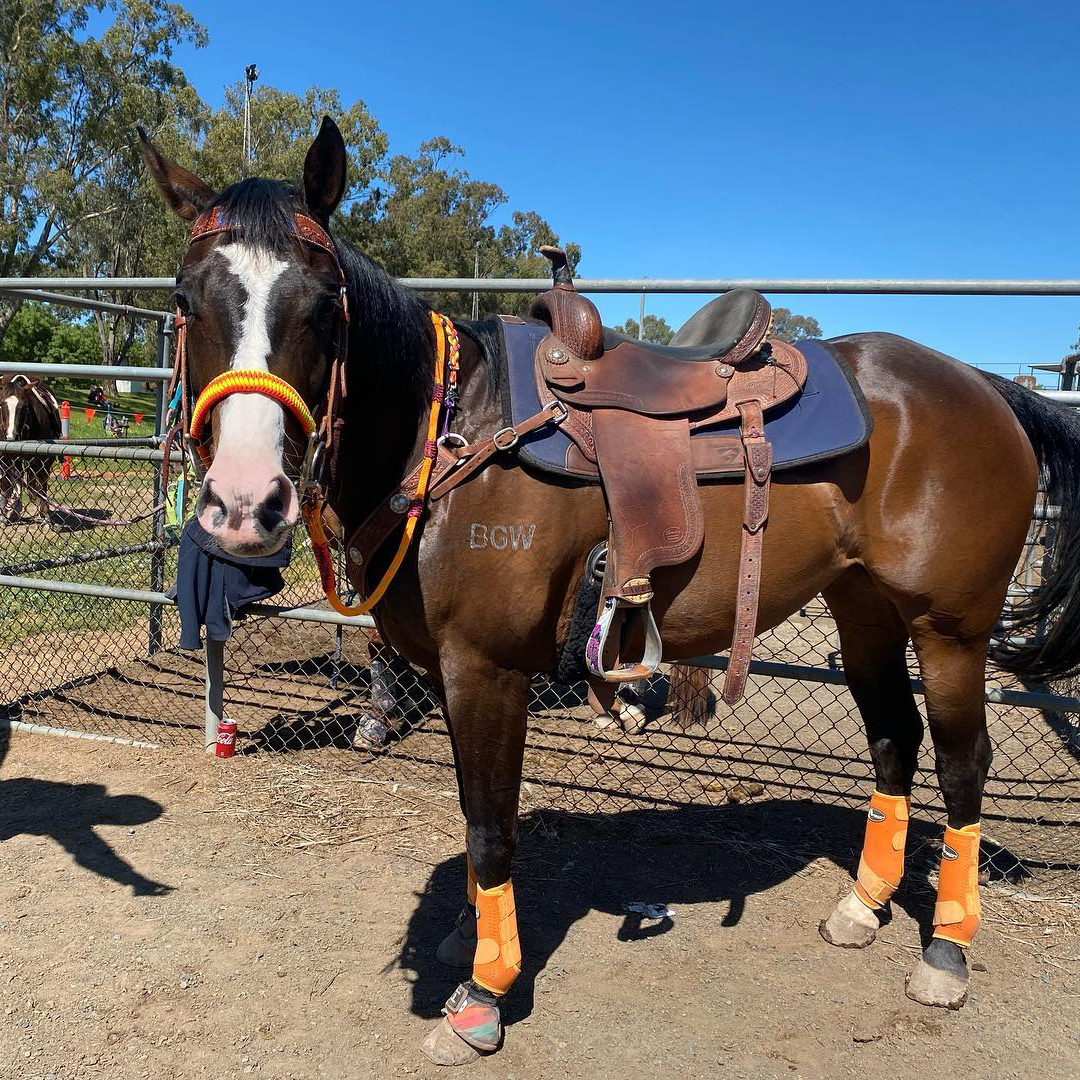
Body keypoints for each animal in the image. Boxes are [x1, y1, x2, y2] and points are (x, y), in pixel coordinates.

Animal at [0, 373, 61, 520]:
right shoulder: (4, 457)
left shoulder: (44, 458)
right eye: (2, 404)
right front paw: (3, 516)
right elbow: (6, 484)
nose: (11, 437)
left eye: (25, 407)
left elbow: (42, 484)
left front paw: (45, 516)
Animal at [139, 118, 1080, 1062]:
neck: (452, 431)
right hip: (865, 615)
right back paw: (860, 907)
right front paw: (466, 938)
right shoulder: (444, 670)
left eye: (324, 305)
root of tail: (987, 386)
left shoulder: (485, 670)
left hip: (950, 630)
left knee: (962, 764)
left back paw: (946, 953)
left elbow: (491, 825)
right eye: (185, 299)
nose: (244, 504)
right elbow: (471, 808)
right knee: (894, 742)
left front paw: (483, 993)